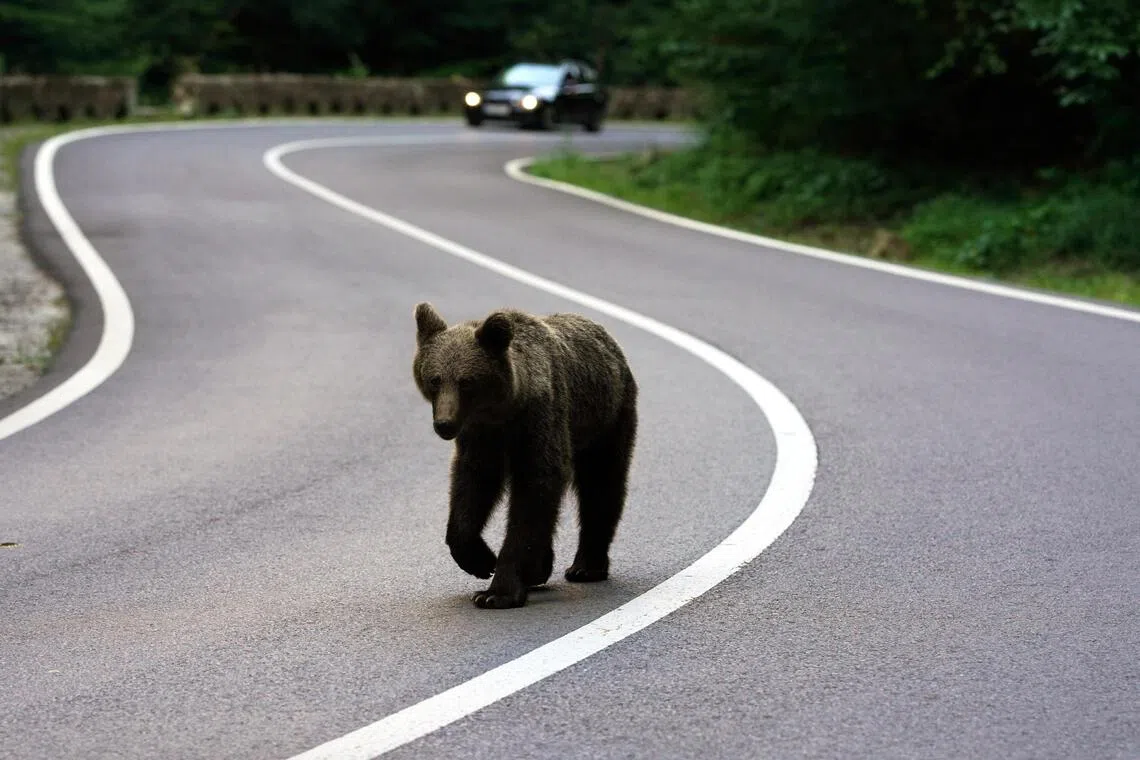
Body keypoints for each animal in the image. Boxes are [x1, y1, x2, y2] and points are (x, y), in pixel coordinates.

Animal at [412, 302, 638, 609]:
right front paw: (481, 559)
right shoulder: (481, 436)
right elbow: (472, 486)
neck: (504, 410)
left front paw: (497, 592)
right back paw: (540, 568)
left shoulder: (538, 421)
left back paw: (585, 567)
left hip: (605, 418)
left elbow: (535, 490)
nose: (444, 424)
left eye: (466, 381)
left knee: (601, 485)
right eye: (435, 379)